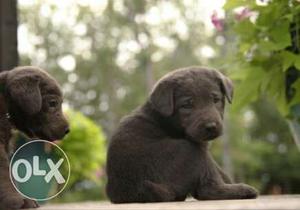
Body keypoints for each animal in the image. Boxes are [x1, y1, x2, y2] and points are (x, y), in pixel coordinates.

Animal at [106, 66, 258, 203]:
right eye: (187, 105)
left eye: (216, 99)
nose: (211, 126)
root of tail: (133, 191)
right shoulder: (198, 149)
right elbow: (215, 170)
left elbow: (220, 170)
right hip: (189, 150)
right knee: (206, 189)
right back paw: (244, 190)